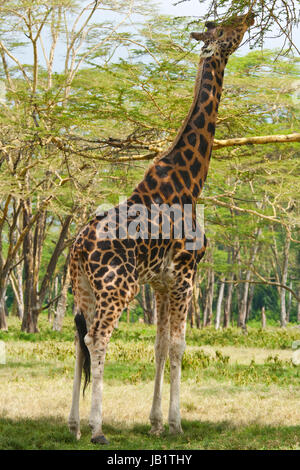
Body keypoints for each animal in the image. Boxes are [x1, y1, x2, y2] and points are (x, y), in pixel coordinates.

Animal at [68, 11, 255, 444]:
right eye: (229, 28)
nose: (251, 16)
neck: (191, 180)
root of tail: (78, 248)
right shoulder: (187, 274)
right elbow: (178, 346)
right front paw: (175, 423)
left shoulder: (161, 281)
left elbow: (158, 346)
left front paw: (154, 423)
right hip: (117, 288)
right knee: (97, 338)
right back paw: (97, 429)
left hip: (82, 288)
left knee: (79, 342)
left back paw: (73, 425)